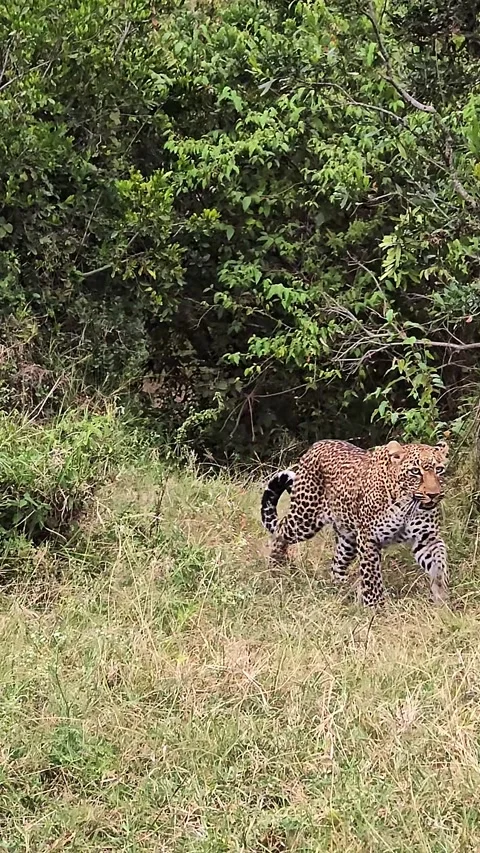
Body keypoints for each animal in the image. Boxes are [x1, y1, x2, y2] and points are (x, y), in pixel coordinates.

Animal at [261, 438, 449, 606]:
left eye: (439, 469)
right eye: (415, 471)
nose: (433, 494)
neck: (408, 505)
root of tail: (316, 445)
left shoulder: (427, 538)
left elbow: (439, 565)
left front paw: (441, 598)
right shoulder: (368, 539)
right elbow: (372, 578)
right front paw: (376, 608)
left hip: (348, 539)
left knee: (336, 564)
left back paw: (342, 591)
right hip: (305, 518)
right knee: (280, 530)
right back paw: (276, 569)